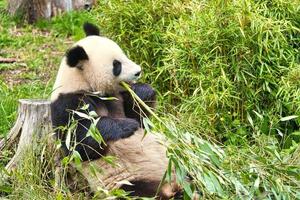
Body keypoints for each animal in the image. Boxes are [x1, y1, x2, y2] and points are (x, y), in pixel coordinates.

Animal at [50, 23, 180, 198]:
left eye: (124, 55)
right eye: (116, 65)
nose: (138, 71)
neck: (83, 82)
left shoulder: (117, 96)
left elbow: (141, 119)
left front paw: (143, 92)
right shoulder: (69, 104)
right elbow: (81, 144)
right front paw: (126, 126)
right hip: (127, 183)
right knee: (140, 192)